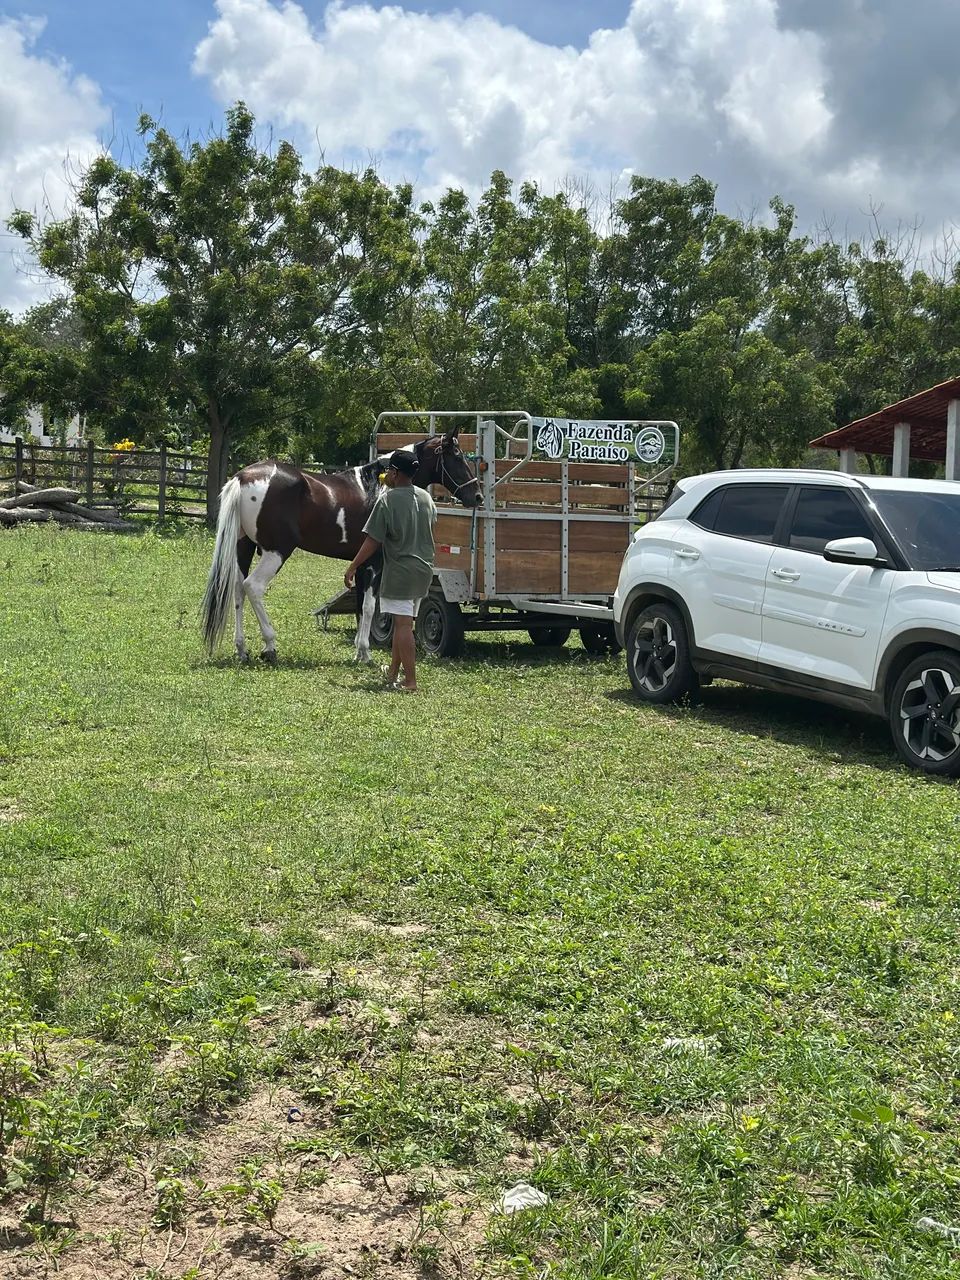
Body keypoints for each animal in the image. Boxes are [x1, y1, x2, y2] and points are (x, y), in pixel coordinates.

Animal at [201, 431, 483, 664]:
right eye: (457, 457)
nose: (477, 496)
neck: (379, 488)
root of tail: (243, 477)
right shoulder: (374, 563)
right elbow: (369, 606)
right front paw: (366, 654)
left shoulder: (360, 565)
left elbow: (359, 607)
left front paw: (359, 651)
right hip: (276, 552)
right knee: (253, 587)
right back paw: (270, 646)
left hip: (243, 549)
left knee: (237, 590)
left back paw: (242, 649)